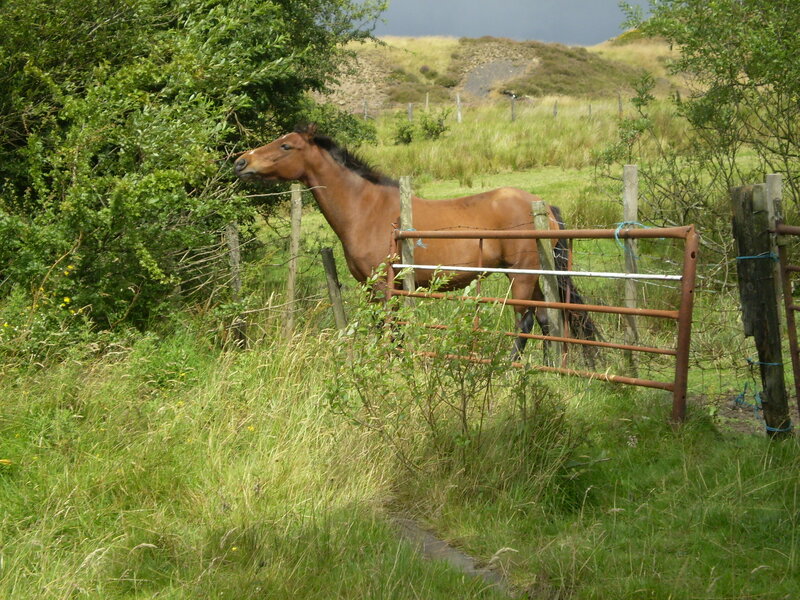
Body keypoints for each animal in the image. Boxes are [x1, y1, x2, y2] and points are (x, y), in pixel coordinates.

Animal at [234, 124, 597, 357]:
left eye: (286, 146)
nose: (240, 162)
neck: (367, 209)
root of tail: (543, 206)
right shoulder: (370, 288)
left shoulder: (386, 286)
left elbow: (391, 329)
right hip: (534, 277)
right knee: (548, 321)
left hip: (521, 277)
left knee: (525, 322)